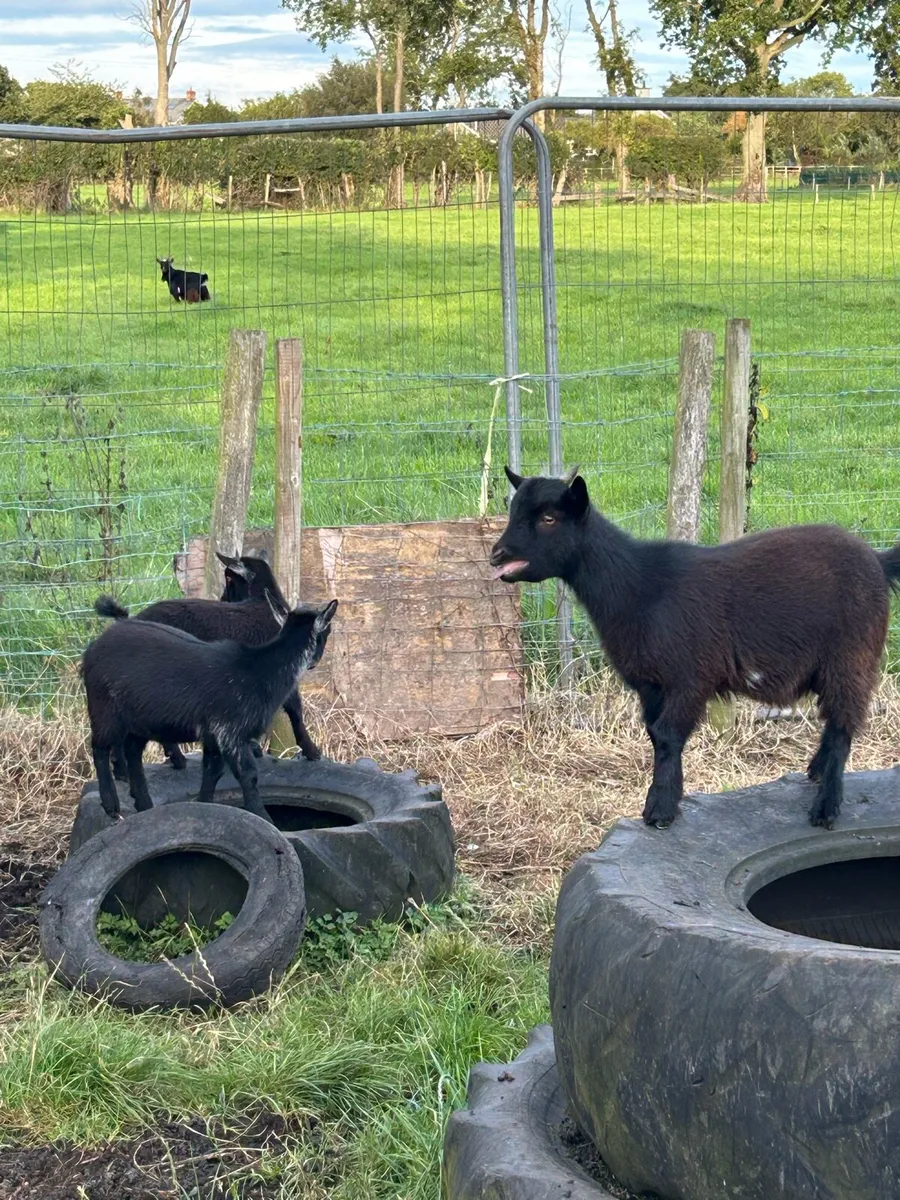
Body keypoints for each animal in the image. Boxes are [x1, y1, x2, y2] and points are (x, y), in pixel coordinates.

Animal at [82, 597, 339, 821]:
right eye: (326, 632)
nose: (315, 662)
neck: (258, 670)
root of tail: (93, 648)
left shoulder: (213, 736)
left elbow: (212, 773)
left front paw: (204, 805)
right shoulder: (230, 731)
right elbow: (248, 776)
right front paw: (264, 818)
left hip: (140, 720)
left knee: (132, 752)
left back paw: (144, 803)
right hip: (104, 707)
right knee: (99, 748)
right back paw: (111, 804)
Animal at [95, 552, 329, 777]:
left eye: (230, 579)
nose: (223, 598)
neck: (263, 602)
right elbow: (294, 709)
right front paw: (311, 752)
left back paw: (122, 769)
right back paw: (170, 760)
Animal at [490, 466, 900, 831]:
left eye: (548, 518)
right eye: (513, 512)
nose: (497, 554)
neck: (639, 586)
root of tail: (878, 561)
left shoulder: (690, 676)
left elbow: (669, 735)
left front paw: (660, 810)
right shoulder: (651, 683)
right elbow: (655, 735)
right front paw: (667, 799)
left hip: (852, 655)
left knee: (844, 724)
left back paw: (826, 808)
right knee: (834, 722)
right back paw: (815, 773)